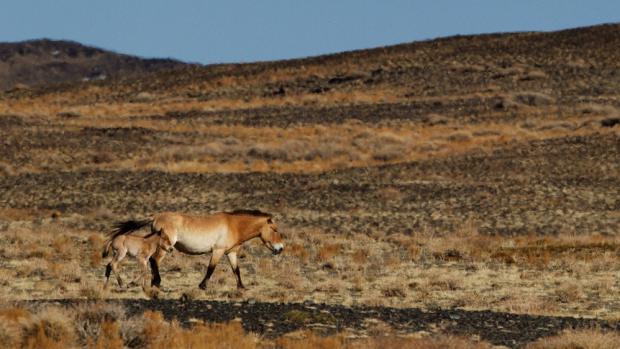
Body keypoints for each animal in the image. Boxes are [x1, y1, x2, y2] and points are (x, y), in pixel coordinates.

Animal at [110, 209, 284, 290]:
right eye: (275, 229)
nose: (280, 249)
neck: (233, 225)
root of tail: (155, 217)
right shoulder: (218, 251)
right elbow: (210, 269)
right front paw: (202, 286)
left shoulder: (231, 253)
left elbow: (236, 270)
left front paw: (241, 287)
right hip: (165, 247)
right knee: (154, 260)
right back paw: (157, 282)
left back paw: (153, 283)